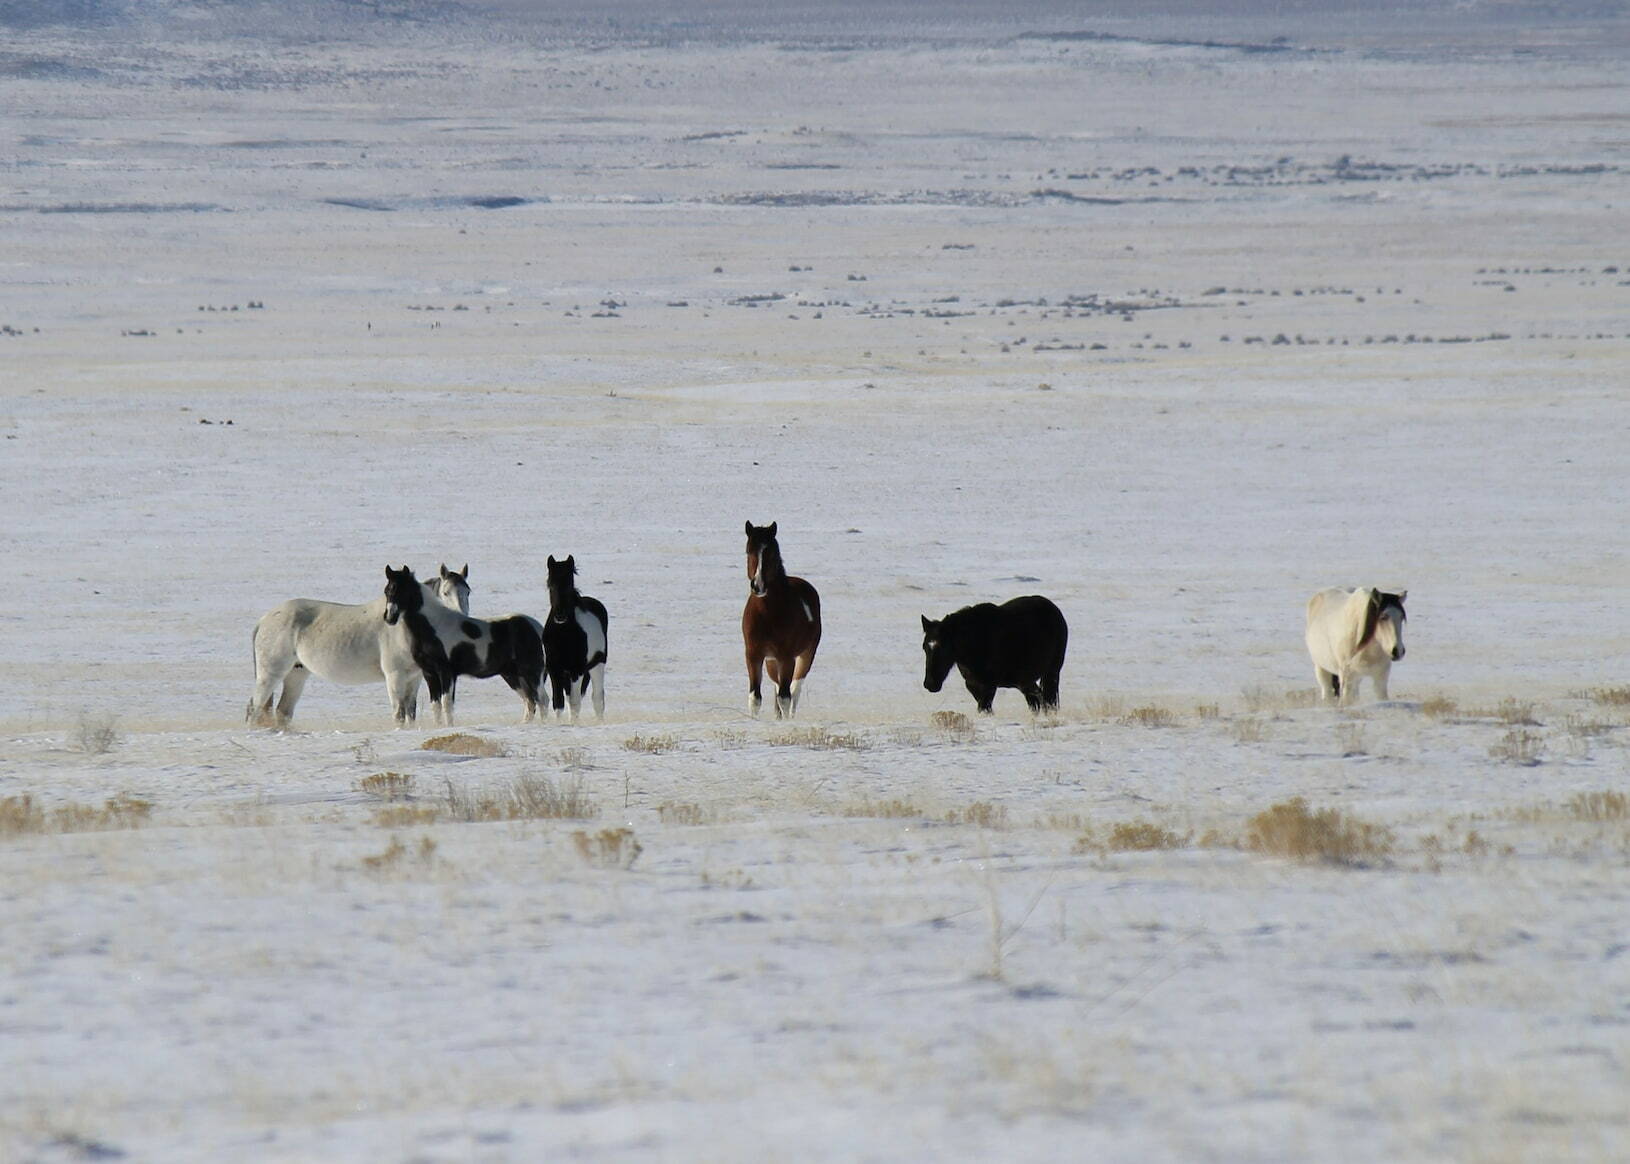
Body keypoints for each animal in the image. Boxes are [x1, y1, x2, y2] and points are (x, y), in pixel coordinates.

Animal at [247, 564, 471, 728]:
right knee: (254, 709)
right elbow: (399, 713)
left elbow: (410, 713)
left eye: (467, 591)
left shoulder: (413, 678)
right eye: (445, 592)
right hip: (271, 674)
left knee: (283, 712)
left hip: (296, 674)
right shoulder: (395, 676)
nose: (462, 620)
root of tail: (264, 619)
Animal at [382, 565, 546, 724]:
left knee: (542, 700)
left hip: (532, 672)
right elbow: (436, 706)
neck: (434, 626)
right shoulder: (429, 673)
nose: (389, 617)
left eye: (402, 590)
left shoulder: (446, 672)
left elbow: (447, 704)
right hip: (513, 676)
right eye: (387, 591)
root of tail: (537, 627)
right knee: (530, 701)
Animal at [541, 555, 609, 722]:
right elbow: (558, 703)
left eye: (568, 584)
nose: (560, 616)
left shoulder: (576, 670)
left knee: (598, 699)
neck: (563, 634)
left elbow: (575, 703)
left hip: (598, 664)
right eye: (550, 585)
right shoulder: (555, 669)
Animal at [741, 521, 822, 718]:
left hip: (805, 655)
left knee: (794, 690)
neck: (767, 614)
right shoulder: (753, 655)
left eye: (771, 553)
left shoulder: (786, 657)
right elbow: (755, 698)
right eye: (749, 551)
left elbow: (785, 697)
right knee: (778, 687)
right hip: (771, 662)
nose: (758, 585)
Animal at [921, 596, 1068, 715]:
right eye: (924, 647)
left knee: (1048, 700)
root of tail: (1055, 610)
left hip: (1051, 672)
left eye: (944, 647)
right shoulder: (972, 684)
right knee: (1037, 700)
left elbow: (984, 708)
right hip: (1025, 680)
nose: (930, 684)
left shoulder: (989, 685)